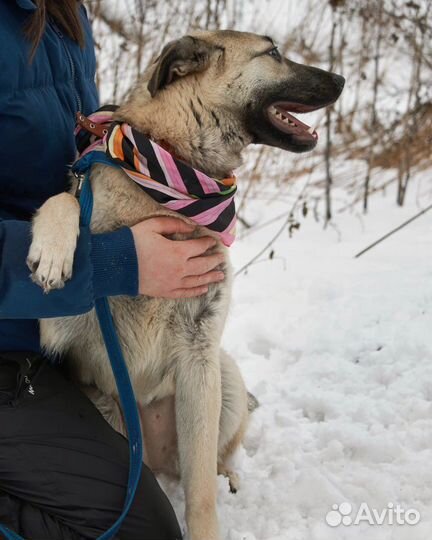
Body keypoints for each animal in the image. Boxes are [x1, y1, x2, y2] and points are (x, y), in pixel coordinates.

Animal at [27, 30, 344, 540]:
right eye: (273, 52)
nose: (341, 79)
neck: (169, 180)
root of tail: (155, 460)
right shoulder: (59, 327)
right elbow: (67, 196)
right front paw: (55, 248)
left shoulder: (198, 354)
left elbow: (200, 498)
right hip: (113, 409)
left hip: (222, 377)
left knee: (210, 459)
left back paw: (228, 475)